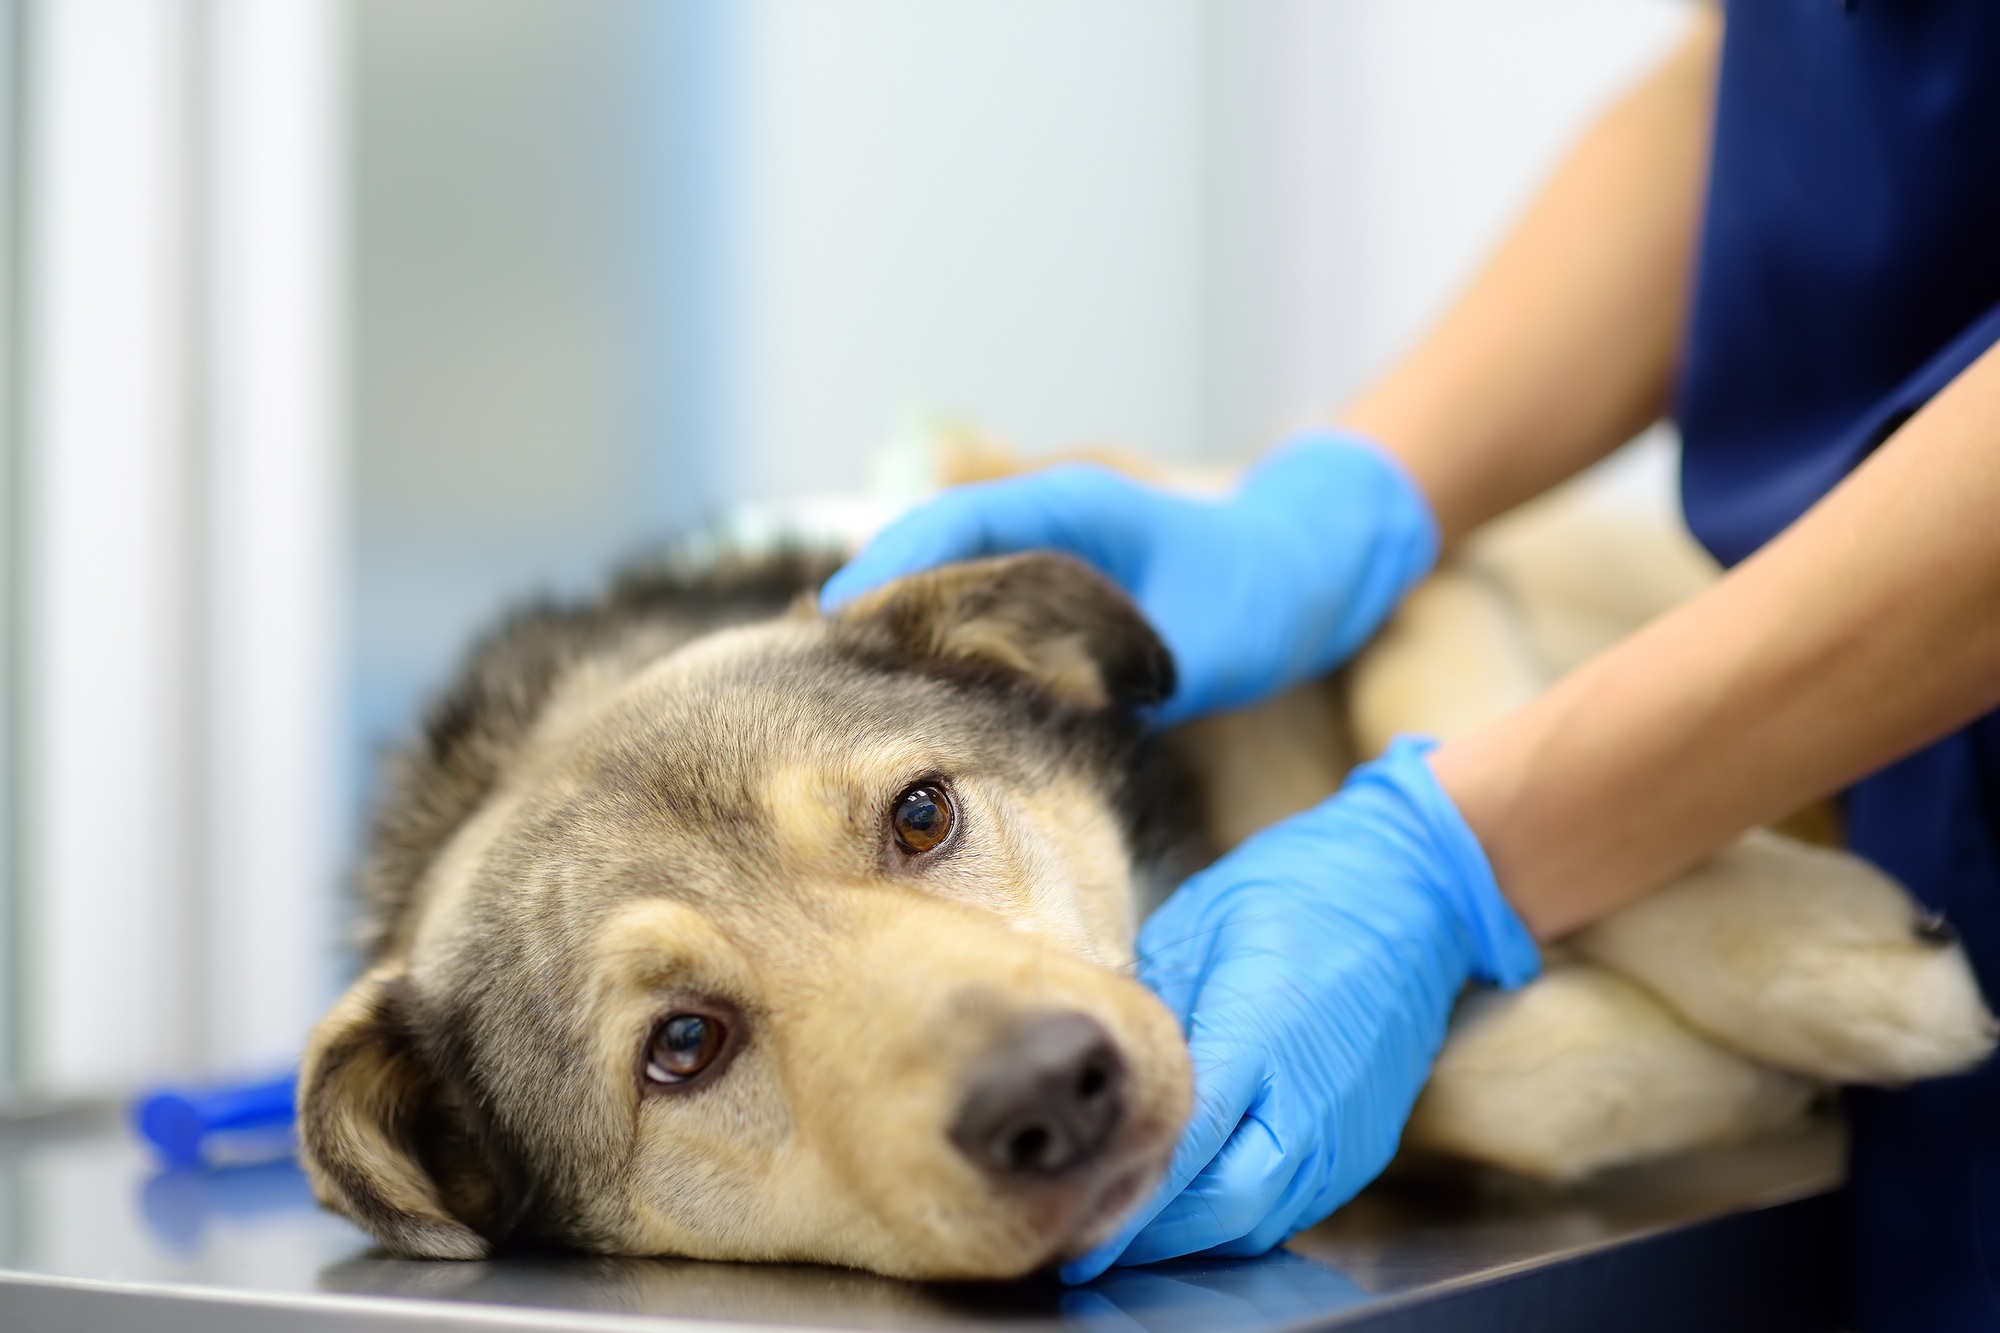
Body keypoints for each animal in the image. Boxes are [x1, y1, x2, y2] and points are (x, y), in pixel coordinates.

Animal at [300, 470, 2000, 1280]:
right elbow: (1459, 1076)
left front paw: (1835, 968)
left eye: (922, 815)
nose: (1053, 1094)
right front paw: (1722, 1068)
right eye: (682, 1046)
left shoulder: (1415, 575)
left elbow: (1471, 733)